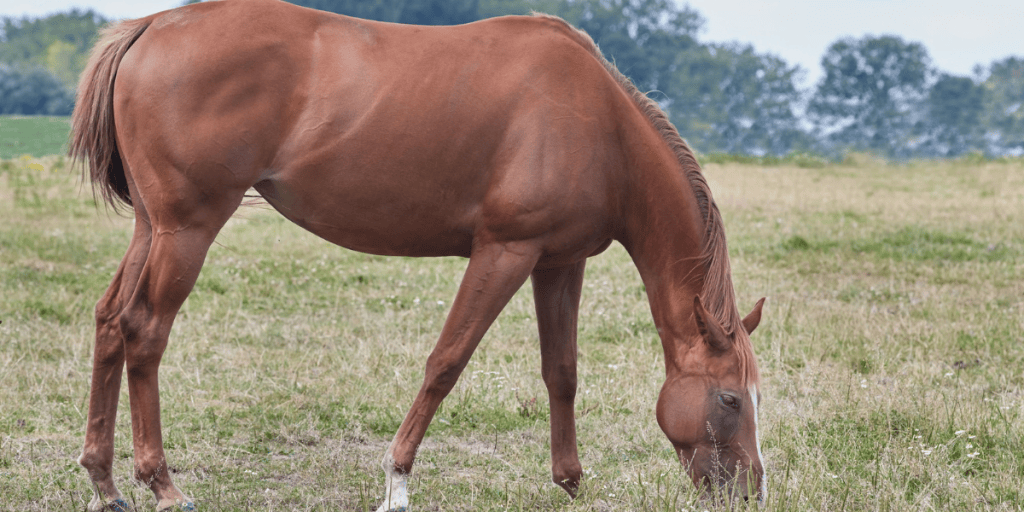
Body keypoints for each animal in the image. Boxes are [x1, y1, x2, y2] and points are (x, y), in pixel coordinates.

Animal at [69, 0, 766, 510]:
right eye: (731, 399)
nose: (751, 491)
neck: (602, 125)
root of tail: (152, 26)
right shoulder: (505, 252)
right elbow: (446, 363)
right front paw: (397, 480)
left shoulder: (559, 263)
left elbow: (561, 372)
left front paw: (570, 479)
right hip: (187, 230)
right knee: (145, 330)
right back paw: (161, 483)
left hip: (152, 229)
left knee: (109, 321)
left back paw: (104, 482)